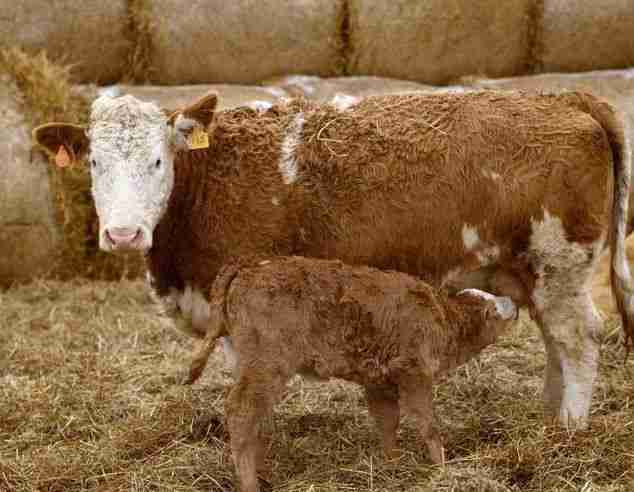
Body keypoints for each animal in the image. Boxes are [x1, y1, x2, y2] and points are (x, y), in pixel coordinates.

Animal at [33, 90, 632, 428]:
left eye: (158, 160)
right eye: (93, 163)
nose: (124, 233)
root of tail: (563, 98)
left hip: (559, 264)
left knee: (578, 338)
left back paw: (570, 427)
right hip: (533, 272)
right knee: (556, 340)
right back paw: (549, 416)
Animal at [184, 256, 520, 490]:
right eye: (497, 309)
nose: (515, 305)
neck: (444, 317)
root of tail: (250, 266)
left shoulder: (378, 380)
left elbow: (388, 422)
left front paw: (391, 464)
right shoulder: (414, 372)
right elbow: (428, 425)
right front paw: (442, 468)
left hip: (247, 365)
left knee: (256, 420)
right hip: (267, 365)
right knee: (241, 411)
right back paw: (250, 483)